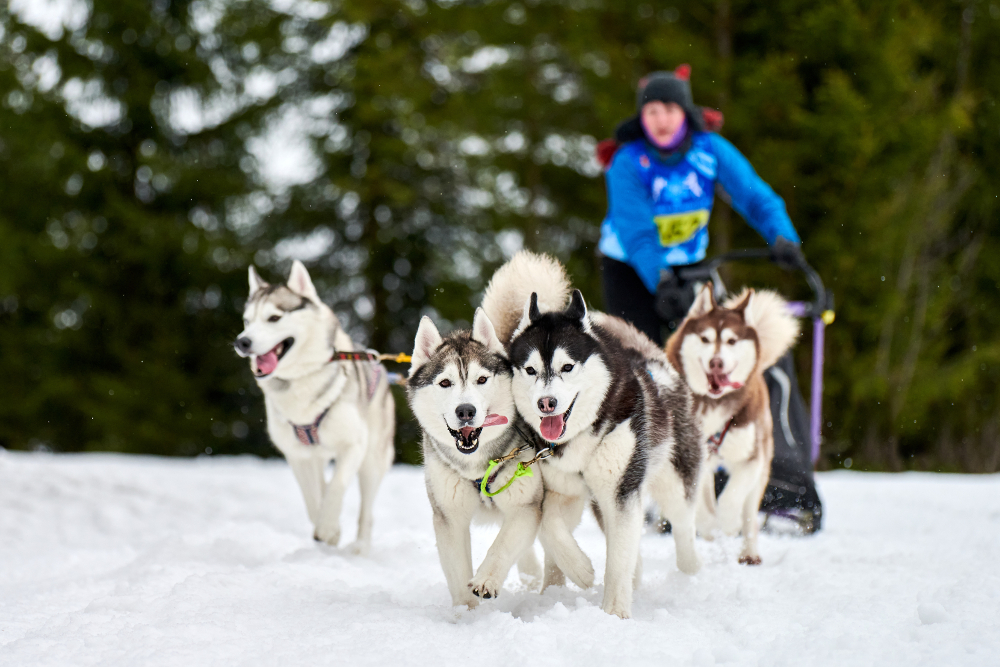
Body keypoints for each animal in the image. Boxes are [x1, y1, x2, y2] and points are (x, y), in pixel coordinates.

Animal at [234, 260, 394, 560]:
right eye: (247, 321)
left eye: (274, 318)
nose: (242, 342)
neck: (300, 381)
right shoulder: (297, 454)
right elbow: (313, 497)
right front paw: (328, 529)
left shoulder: (353, 445)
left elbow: (336, 486)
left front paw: (329, 528)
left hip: (372, 460)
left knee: (366, 510)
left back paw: (360, 547)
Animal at [410, 253, 596, 608]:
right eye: (445, 383)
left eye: (482, 379)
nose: (465, 411)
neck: (478, 467)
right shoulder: (449, 518)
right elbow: (458, 574)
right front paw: (466, 611)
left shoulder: (525, 507)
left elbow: (504, 545)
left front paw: (486, 580)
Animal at [508, 286, 704, 616]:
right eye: (530, 370)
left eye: (567, 367)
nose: (546, 403)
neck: (580, 438)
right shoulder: (562, 490)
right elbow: (549, 524)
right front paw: (582, 571)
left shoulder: (621, 493)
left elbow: (618, 560)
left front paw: (614, 613)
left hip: (672, 484)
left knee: (683, 528)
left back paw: (689, 578)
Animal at [668, 284, 800, 568]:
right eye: (705, 339)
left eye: (731, 341)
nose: (716, 362)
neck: (713, 405)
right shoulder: (692, 460)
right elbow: (701, 506)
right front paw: (709, 527)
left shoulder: (752, 459)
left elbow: (731, 497)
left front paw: (728, 524)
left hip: (761, 468)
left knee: (749, 513)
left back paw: (748, 551)